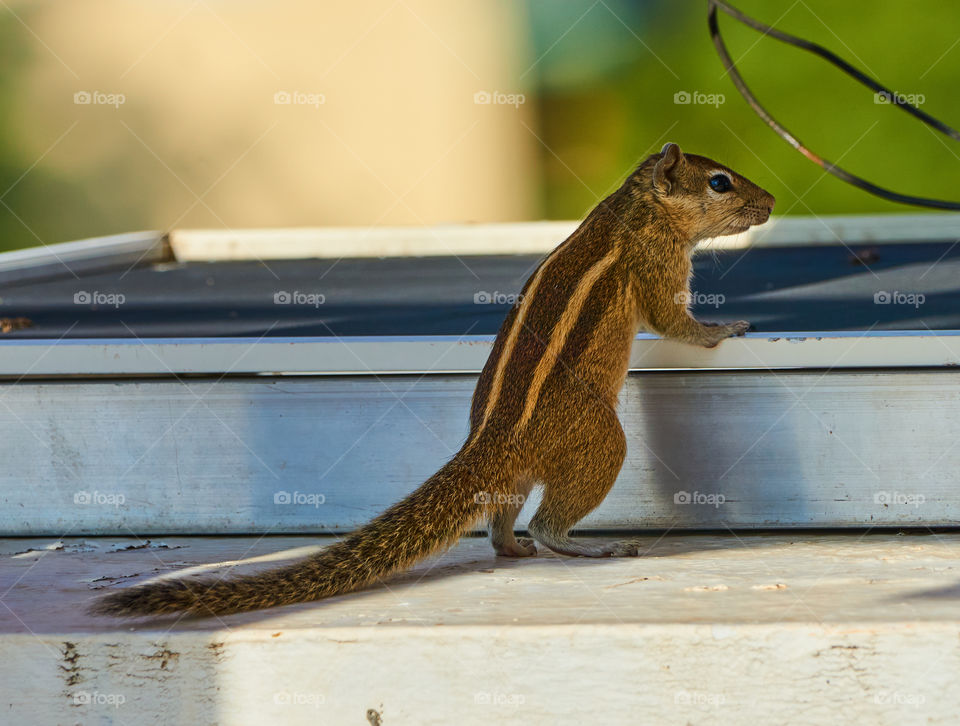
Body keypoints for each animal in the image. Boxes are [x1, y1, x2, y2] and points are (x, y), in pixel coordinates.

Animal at [94, 144, 776, 620]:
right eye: (719, 181)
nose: (770, 202)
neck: (634, 206)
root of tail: (488, 442)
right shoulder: (655, 266)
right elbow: (673, 322)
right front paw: (727, 326)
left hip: (518, 475)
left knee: (501, 526)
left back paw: (514, 548)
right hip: (601, 441)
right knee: (547, 523)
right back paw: (586, 548)